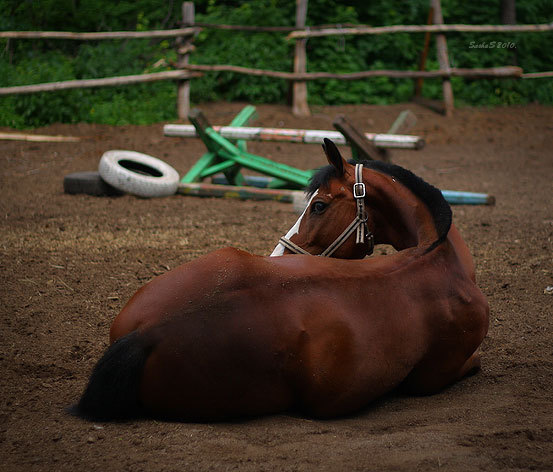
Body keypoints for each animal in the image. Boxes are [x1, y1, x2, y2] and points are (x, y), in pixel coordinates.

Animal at [72, 139, 488, 420]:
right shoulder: (435, 376)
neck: (436, 255)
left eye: (318, 205)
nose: (280, 257)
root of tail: (147, 335)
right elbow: (477, 362)